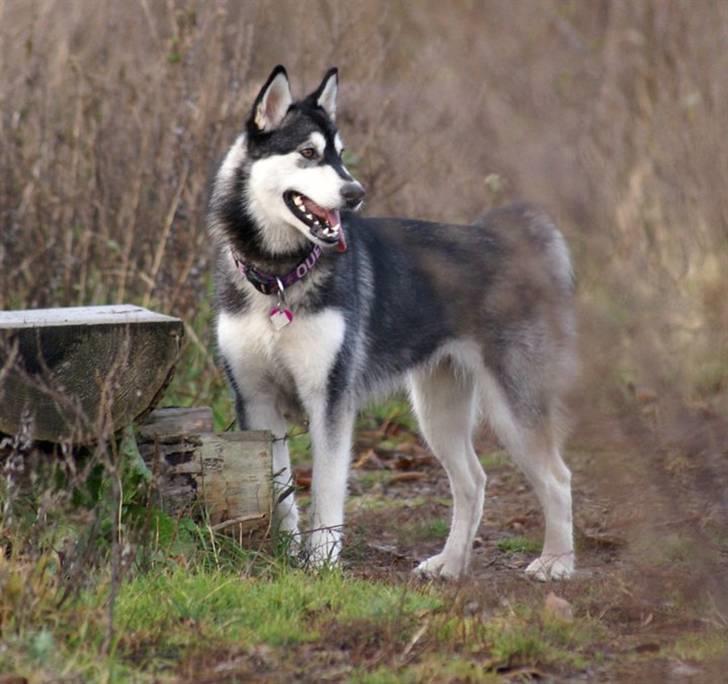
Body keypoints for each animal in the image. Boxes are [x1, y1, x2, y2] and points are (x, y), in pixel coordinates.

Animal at [208, 64, 576, 580]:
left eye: (340, 156)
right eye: (308, 153)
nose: (355, 194)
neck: (280, 276)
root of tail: (512, 242)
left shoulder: (330, 400)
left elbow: (326, 492)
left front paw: (322, 562)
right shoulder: (256, 402)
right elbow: (281, 493)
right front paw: (286, 554)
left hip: (513, 405)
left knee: (557, 478)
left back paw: (557, 562)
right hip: (437, 410)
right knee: (473, 481)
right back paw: (451, 563)